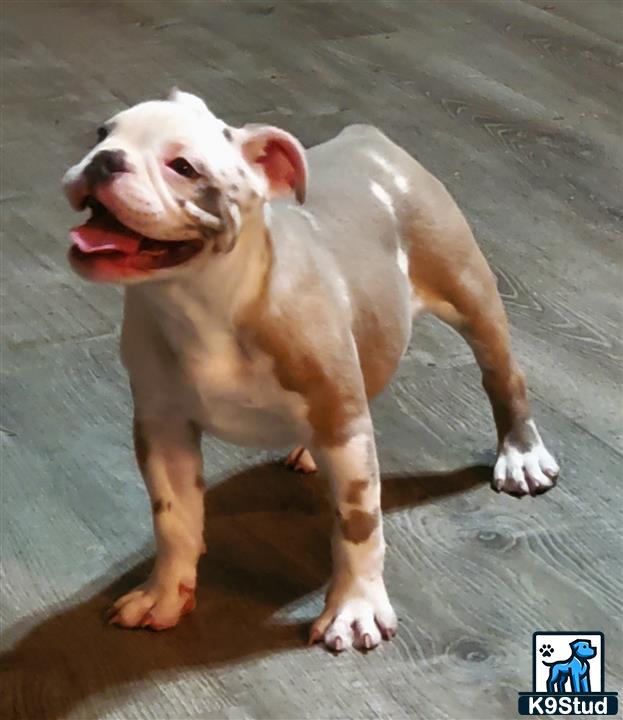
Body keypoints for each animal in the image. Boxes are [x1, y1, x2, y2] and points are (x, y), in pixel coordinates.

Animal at [62, 90, 560, 652]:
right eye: (102, 134)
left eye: (183, 167)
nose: (105, 160)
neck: (202, 301)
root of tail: (367, 139)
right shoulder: (164, 428)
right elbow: (175, 521)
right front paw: (165, 594)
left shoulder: (343, 428)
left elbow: (358, 525)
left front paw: (355, 608)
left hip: (467, 289)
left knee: (503, 376)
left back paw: (521, 455)